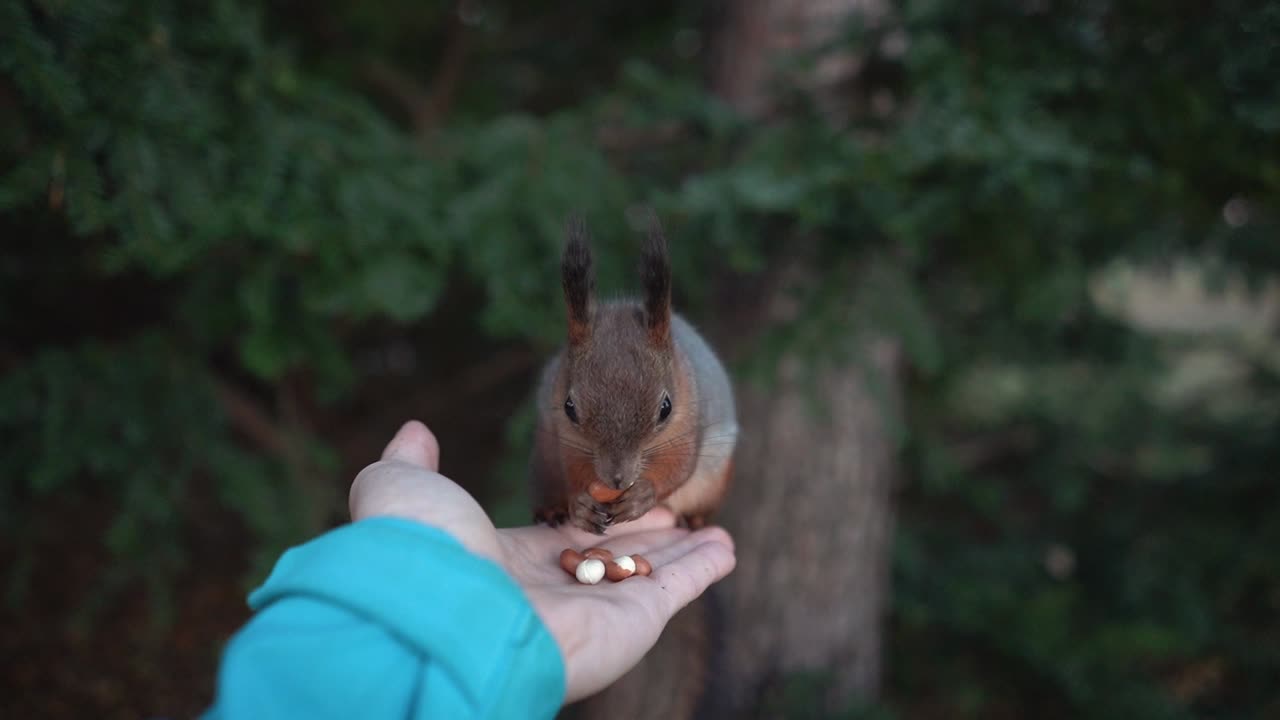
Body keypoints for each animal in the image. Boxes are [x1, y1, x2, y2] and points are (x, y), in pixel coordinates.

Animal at [529, 214, 739, 536]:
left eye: (666, 408)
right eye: (570, 407)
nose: (618, 480)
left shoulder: (688, 421)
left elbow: (679, 466)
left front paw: (643, 496)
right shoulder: (565, 431)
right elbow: (573, 465)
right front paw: (580, 505)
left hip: (713, 480)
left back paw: (694, 520)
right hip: (544, 460)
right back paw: (551, 510)